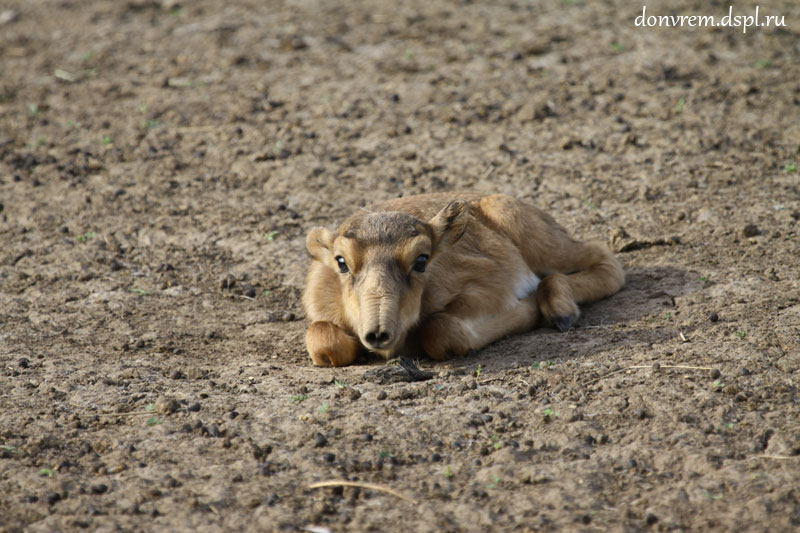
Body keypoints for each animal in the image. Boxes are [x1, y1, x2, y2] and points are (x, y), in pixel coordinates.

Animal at [304, 193, 620, 368]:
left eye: (421, 259)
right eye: (341, 262)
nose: (378, 332)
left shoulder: (488, 290)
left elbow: (442, 329)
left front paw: (530, 309)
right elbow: (320, 336)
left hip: (539, 239)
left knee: (605, 260)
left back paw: (559, 310)